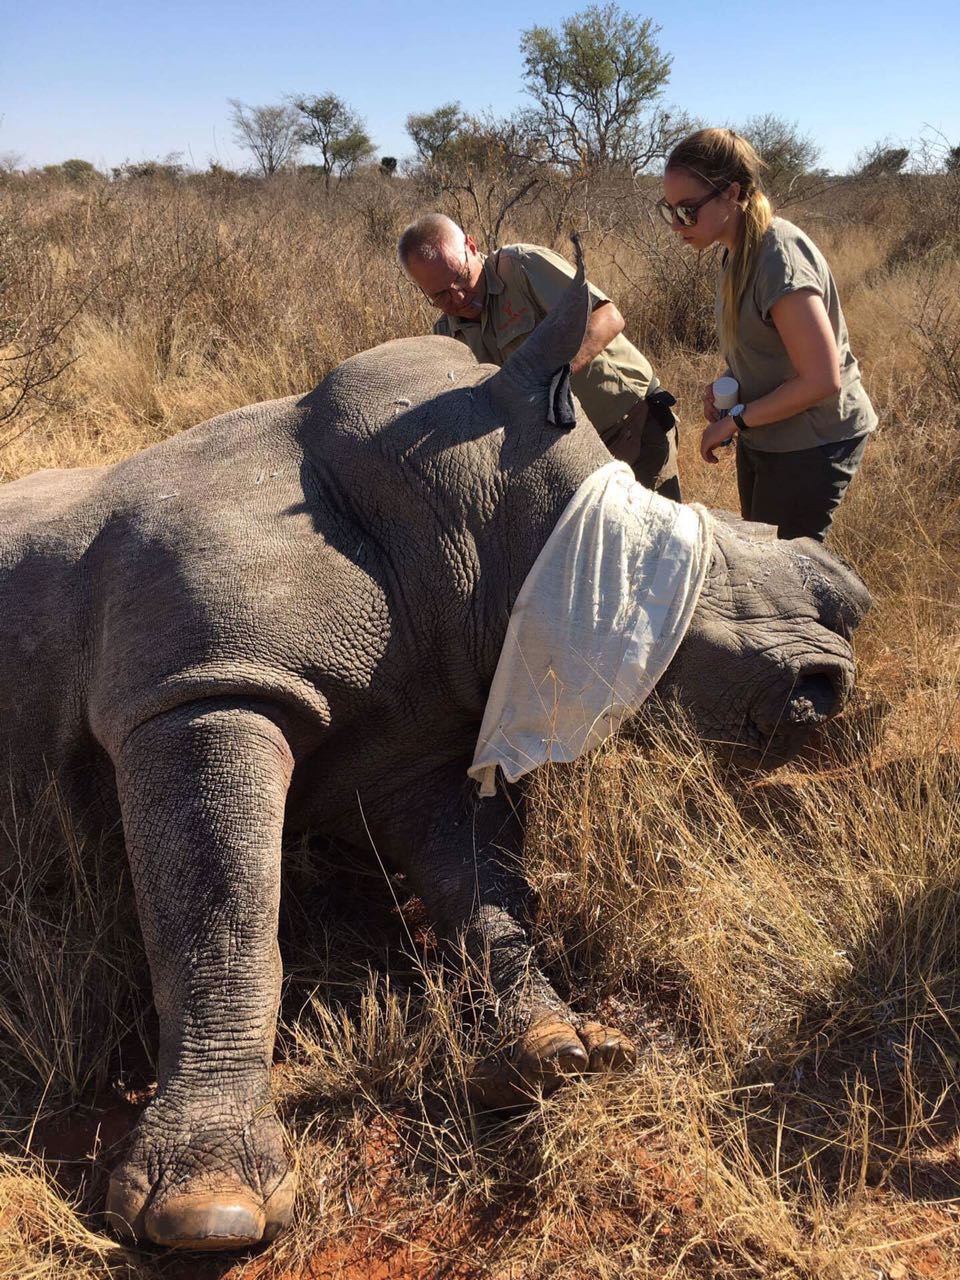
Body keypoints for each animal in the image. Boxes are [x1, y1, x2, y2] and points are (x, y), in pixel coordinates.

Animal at [0, 245, 870, 1250]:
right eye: (724, 570)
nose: (832, 689)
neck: (472, 516)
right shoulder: (201, 684)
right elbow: (224, 918)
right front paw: (208, 1214)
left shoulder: (419, 729)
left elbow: (482, 889)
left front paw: (563, 1054)